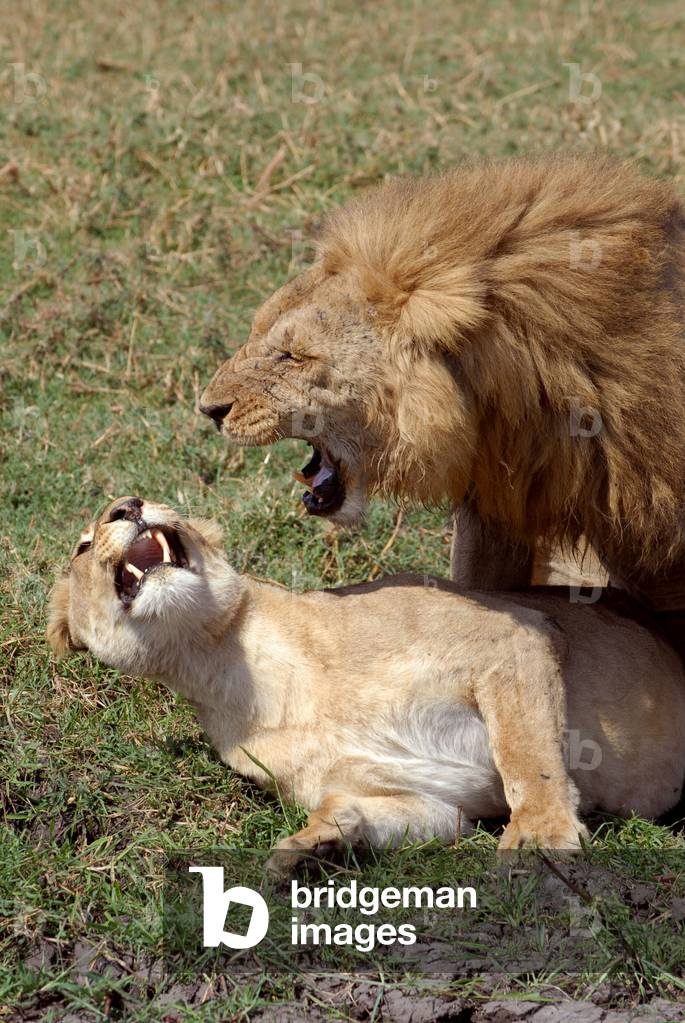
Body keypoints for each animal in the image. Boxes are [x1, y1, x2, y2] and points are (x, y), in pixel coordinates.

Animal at [47, 496, 685, 867]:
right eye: (83, 545)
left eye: (150, 501)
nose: (126, 505)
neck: (233, 659)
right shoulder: (432, 798)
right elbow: (376, 811)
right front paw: (315, 846)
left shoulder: (513, 637)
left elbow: (527, 755)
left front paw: (539, 834)